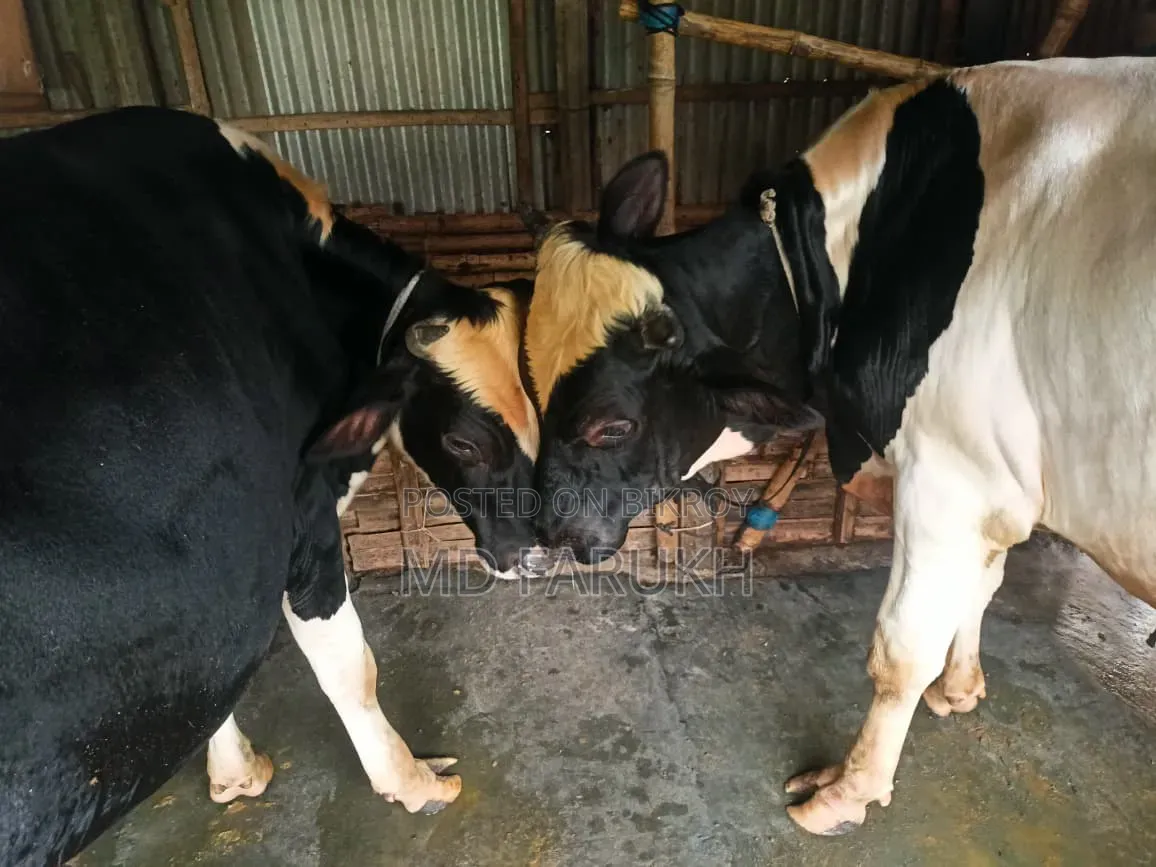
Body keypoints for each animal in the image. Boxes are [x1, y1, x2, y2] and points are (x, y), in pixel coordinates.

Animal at [0, 105, 544, 864]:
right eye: (464, 440)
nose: (534, 553)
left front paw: (232, 772)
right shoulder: (299, 523)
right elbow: (349, 668)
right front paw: (413, 782)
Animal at [519, 56, 1156, 836]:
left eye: (611, 424)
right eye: (532, 378)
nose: (548, 527)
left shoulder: (949, 475)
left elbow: (901, 649)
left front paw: (845, 792)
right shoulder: (993, 479)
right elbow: (981, 585)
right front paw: (960, 686)